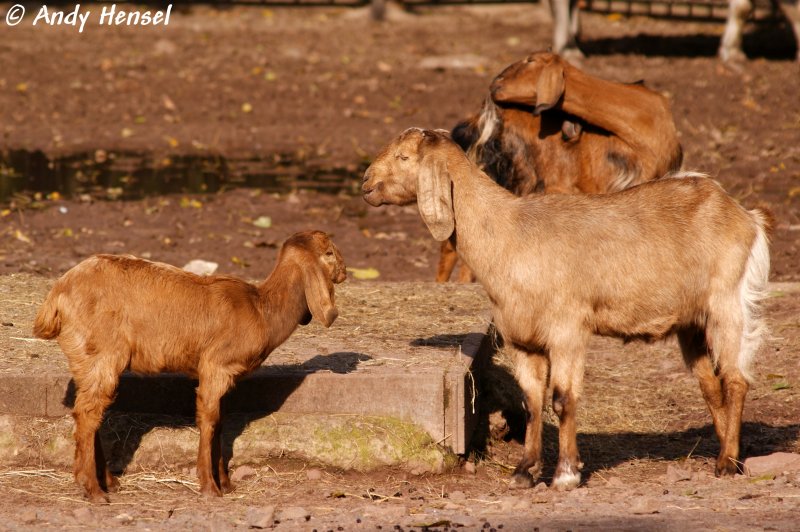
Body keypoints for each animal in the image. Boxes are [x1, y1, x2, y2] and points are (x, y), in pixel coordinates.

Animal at [34, 231, 346, 500]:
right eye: (329, 252)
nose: (344, 271)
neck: (262, 309)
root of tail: (56, 297)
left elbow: (220, 422)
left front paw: (226, 483)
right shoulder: (215, 367)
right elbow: (209, 421)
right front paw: (210, 487)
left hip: (86, 360)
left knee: (88, 412)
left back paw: (106, 482)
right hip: (102, 354)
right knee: (88, 414)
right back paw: (94, 490)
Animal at [362, 128, 768, 490]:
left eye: (404, 157)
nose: (366, 182)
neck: (510, 234)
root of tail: (745, 216)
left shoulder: (568, 330)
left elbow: (562, 399)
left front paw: (566, 475)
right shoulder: (522, 339)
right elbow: (532, 401)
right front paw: (524, 472)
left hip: (727, 301)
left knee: (736, 379)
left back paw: (727, 464)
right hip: (691, 323)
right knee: (711, 385)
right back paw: (728, 453)